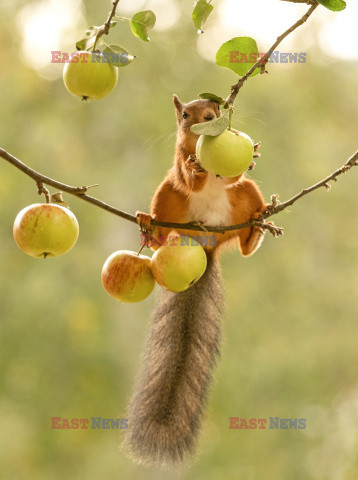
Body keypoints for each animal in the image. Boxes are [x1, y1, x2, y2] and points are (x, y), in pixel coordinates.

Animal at [121, 94, 272, 468]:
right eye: (186, 113)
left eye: (214, 111)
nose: (206, 119)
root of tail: (207, 243)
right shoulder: (176, 160)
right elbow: (189, 178)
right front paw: (195, 170)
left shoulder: (234, 177)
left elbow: (233, 176)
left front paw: (250, 155)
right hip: (167, 197)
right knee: (162, 232)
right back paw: (149, 225)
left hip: (246, 198)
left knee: (245, 238)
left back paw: (257, 227)